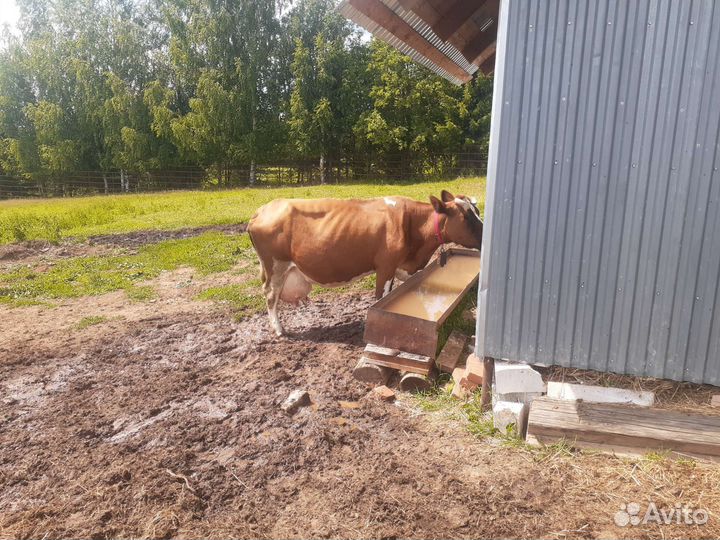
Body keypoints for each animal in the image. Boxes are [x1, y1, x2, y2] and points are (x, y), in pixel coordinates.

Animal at [247, 190, 482, 336]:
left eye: (477, 211)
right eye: (466, 217)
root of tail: (264, 208)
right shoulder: (385, 266)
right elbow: (382, 298)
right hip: (275, 266)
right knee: (270, 295)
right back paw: (279, 329)